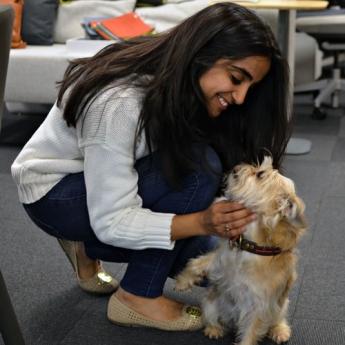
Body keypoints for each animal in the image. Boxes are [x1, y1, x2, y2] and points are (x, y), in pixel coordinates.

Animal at [175, 157, 306, 344]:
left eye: (260, 174)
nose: (236, 167)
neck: (248, 247)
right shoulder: (218, 260)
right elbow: (195, 263)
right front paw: (182, 282)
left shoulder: (259, 307)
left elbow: (250, 335)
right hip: (210, 304)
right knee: (216, 319)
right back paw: (214, 329)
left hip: (280, 307)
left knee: (277, 320)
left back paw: (280, 331)